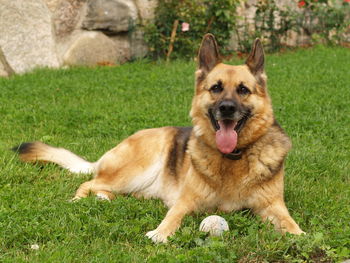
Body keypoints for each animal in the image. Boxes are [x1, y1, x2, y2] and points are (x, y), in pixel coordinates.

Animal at [13, 34, 304, 243]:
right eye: (216, 88)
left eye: (243, 90)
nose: (226, 109)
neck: (233, 158)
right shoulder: (186, 202)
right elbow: (173, 216)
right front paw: (160, 233)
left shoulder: (273, 206)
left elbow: (290, 224)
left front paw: (301, 236)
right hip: (137, 168)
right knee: (88, 183)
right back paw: (80, 201)